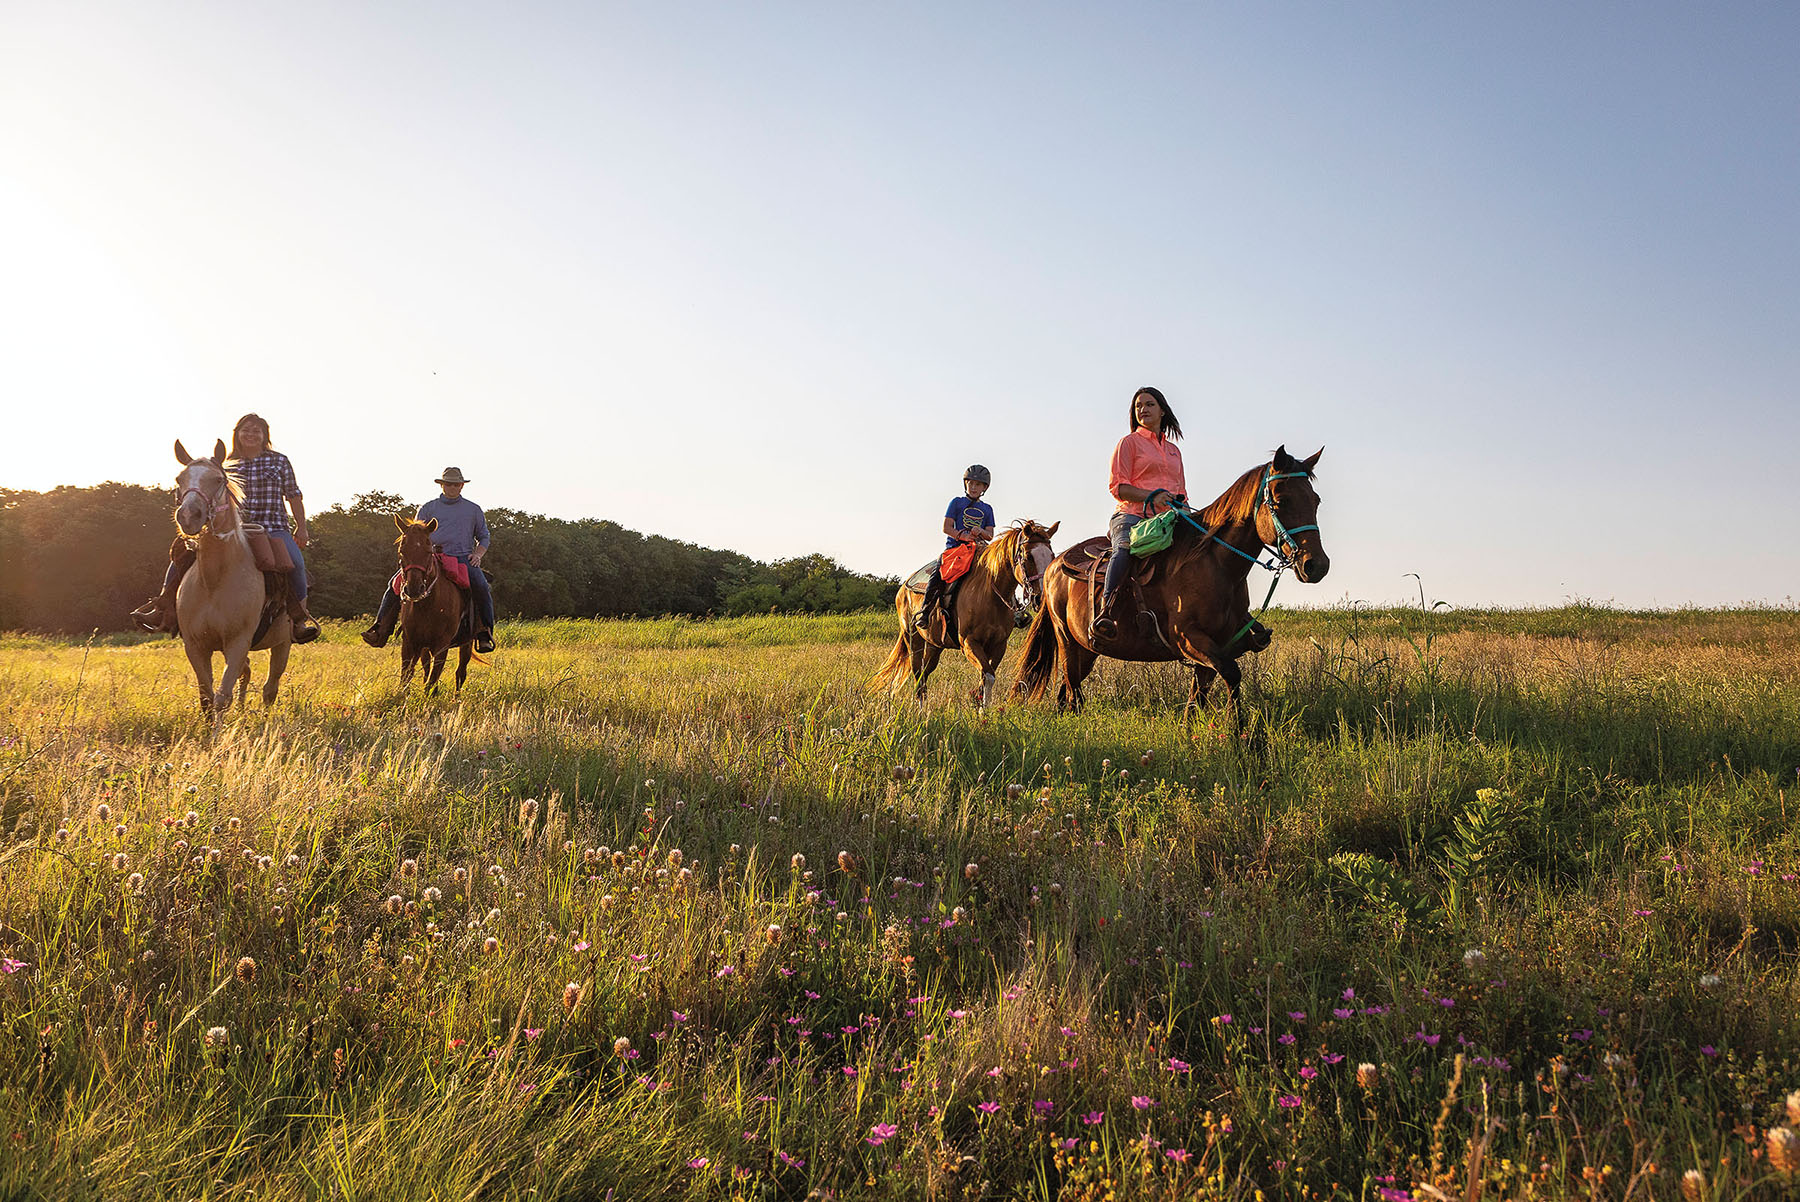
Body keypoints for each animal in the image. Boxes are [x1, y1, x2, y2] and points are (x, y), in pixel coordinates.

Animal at [172, 440, 295, 723]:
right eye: (180, 479)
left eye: (218, 480)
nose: (188, 516)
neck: (214, 579)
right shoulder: (195, 647)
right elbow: (206, 698)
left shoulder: (237, 643)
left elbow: (221, 699)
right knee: (246, 675)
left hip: (282, 645)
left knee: (270, 689)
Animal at [392, 518, 478, 694]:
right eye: (402, 551)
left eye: (428, 551)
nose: (414, 588)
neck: (427, 606)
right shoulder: (410, 642)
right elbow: (406, 677)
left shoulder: (442, 645)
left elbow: (432, 681)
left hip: (466, 644)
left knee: (460, 672)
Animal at [867, 521, 1051, 708]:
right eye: (1028, 557)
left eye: (1051, 556)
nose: (1041, 597)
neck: (989, 593)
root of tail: (903, 588)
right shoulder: (969, 642)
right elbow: (988, 676)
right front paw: (984, 710)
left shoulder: (999, 645)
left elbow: (986, 676)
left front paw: (981, 707)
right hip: (912, 637)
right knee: (918, 673)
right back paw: (919, 709)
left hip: (935, 644)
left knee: (925, 673)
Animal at [1022, 440, 1332, 723]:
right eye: (1280, 501)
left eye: (1316, 500)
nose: (1316, 565)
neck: (1215, 566)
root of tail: (1054, 566)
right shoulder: (1188, 638)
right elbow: (1232, 673)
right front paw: (1241, 734)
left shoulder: (1216, 646)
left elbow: (1198, 700)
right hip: (1067, 640)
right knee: (1072, 687)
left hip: (1087, 648)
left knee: (1066, 691)